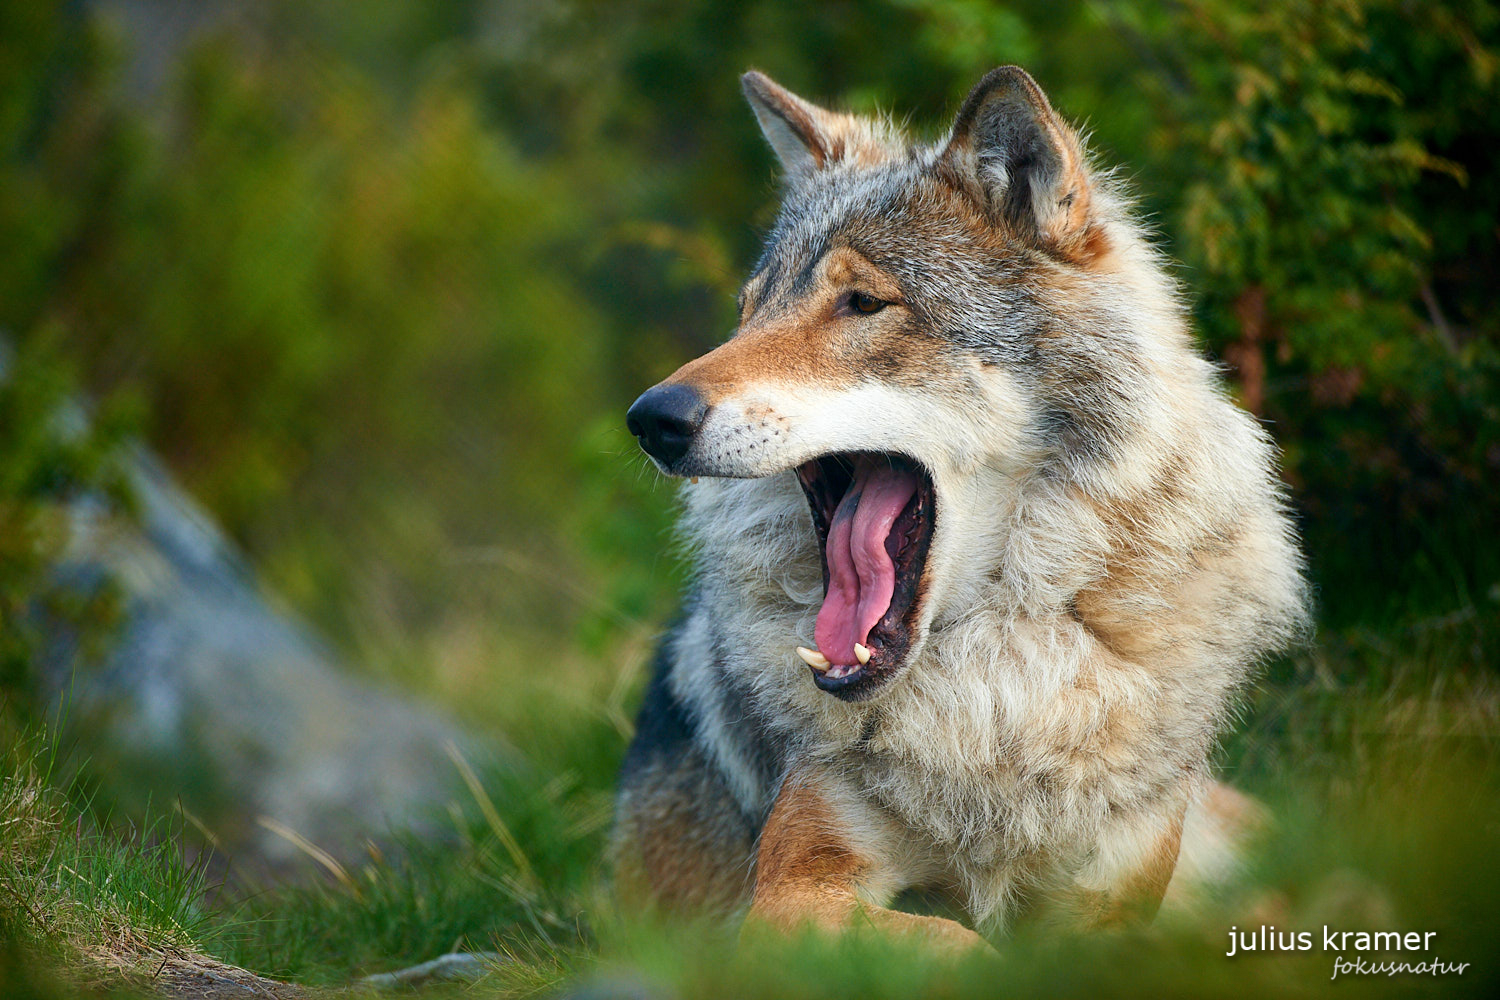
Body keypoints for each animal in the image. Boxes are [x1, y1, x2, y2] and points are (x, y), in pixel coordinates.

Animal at [615, 64, 1308, 947]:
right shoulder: (790, 890)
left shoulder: (1118, 898)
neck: (993, 688)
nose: (653, 419)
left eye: (862, 304)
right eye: (749, 313)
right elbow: (954, 940)